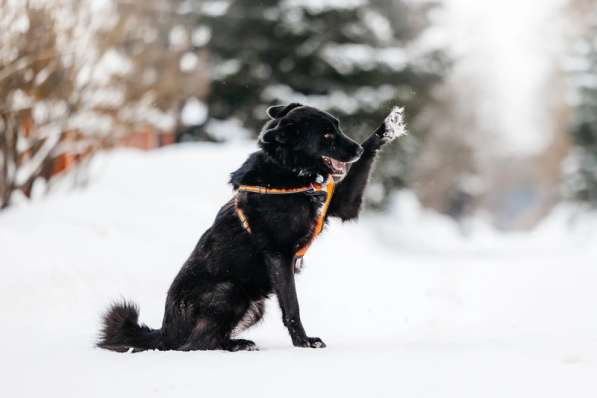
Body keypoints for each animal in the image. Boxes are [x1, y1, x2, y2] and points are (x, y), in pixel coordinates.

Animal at [98, 102, 402, 352]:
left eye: (338, 127)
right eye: (326, 136)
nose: (357, 149)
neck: (289, 173)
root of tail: (165, 331)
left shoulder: (342, 204)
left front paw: (387, 127)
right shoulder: (279, 255)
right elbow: (292, 307)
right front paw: (303, 342)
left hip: (254, 305)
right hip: (229, 290)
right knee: (195, 344)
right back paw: (236, 345)